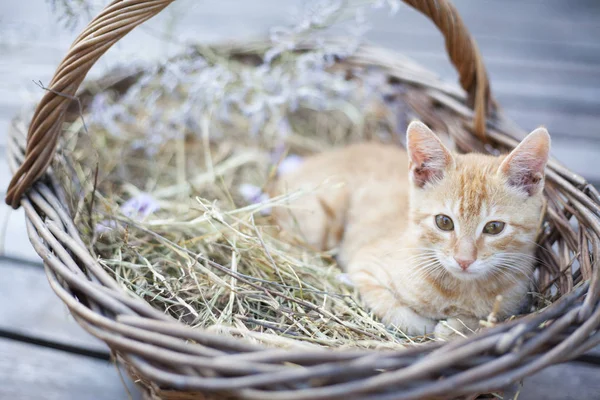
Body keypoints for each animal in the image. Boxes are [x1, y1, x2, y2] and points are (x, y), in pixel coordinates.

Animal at [274, 121, 552, 338]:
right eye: (444, 222)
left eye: (494, 227)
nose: (464, 260)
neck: (460, 289)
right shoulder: (364, 269)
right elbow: (400, 313)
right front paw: (429, 325)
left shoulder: (514, 304)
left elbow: (486, 319)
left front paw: (457, 326)